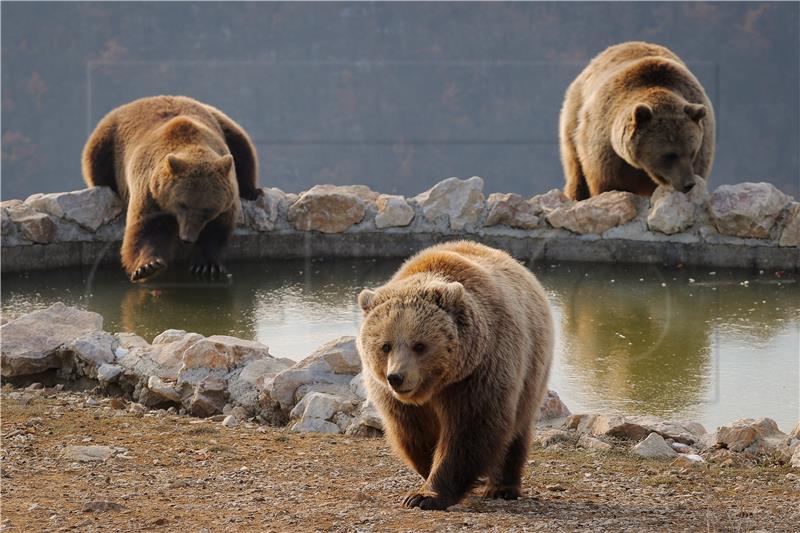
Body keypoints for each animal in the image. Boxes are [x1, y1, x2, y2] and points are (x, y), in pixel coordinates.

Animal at [80, 94, 260, 282]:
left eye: (207, 209)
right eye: (182, 204)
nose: (187, 238)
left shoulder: (226, 199)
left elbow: (217, 229)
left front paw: (206, 265)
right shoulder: (150, 191)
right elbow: (146, 228)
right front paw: (147, 267)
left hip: (220, 120)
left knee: (243, 146)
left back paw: (252, 191)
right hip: (107, 139)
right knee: (96, 161)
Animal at [358, 240, 552, 508]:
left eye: (419, 345)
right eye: (385, 345)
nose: (397, 377)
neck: (437, 384)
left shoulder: (479, 372)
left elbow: (469, 431)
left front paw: (425, 496)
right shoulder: (398, 401)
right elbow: (414, 432)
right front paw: (427, 474)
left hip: (531, 366)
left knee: (516, 428)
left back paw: (502, 487)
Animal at [560, 41, 716, 200]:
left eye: (691, 152)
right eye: (669, 154)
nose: (688, 184)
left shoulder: (703, 146)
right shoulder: (606, 149)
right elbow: (607, 182)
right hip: (575, 114)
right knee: (575, 167)